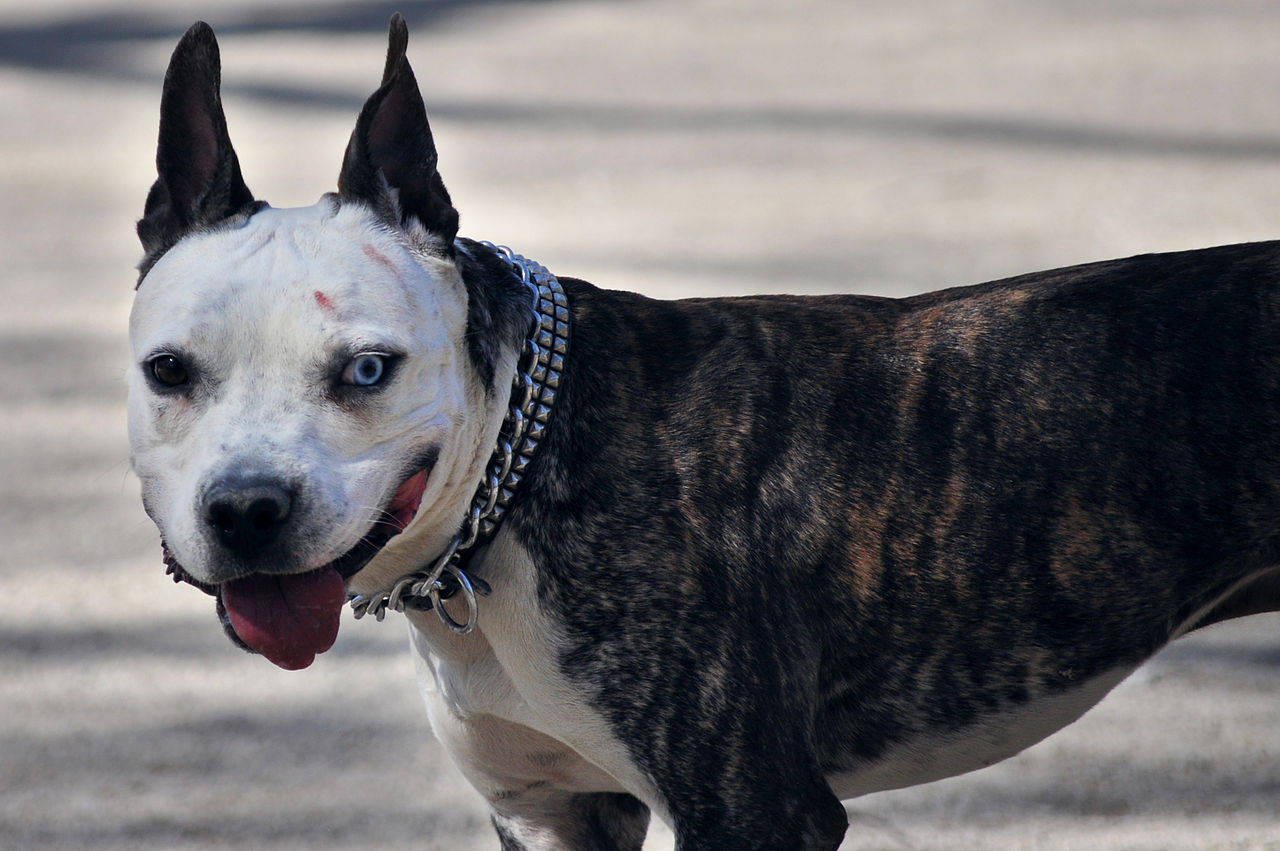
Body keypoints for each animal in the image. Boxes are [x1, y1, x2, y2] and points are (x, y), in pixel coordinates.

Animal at [129, 13, 1280, 849]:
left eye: (367, 370)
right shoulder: (551, 812)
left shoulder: (754, 814)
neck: (523, 471)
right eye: (167, 371)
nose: (246, 508)